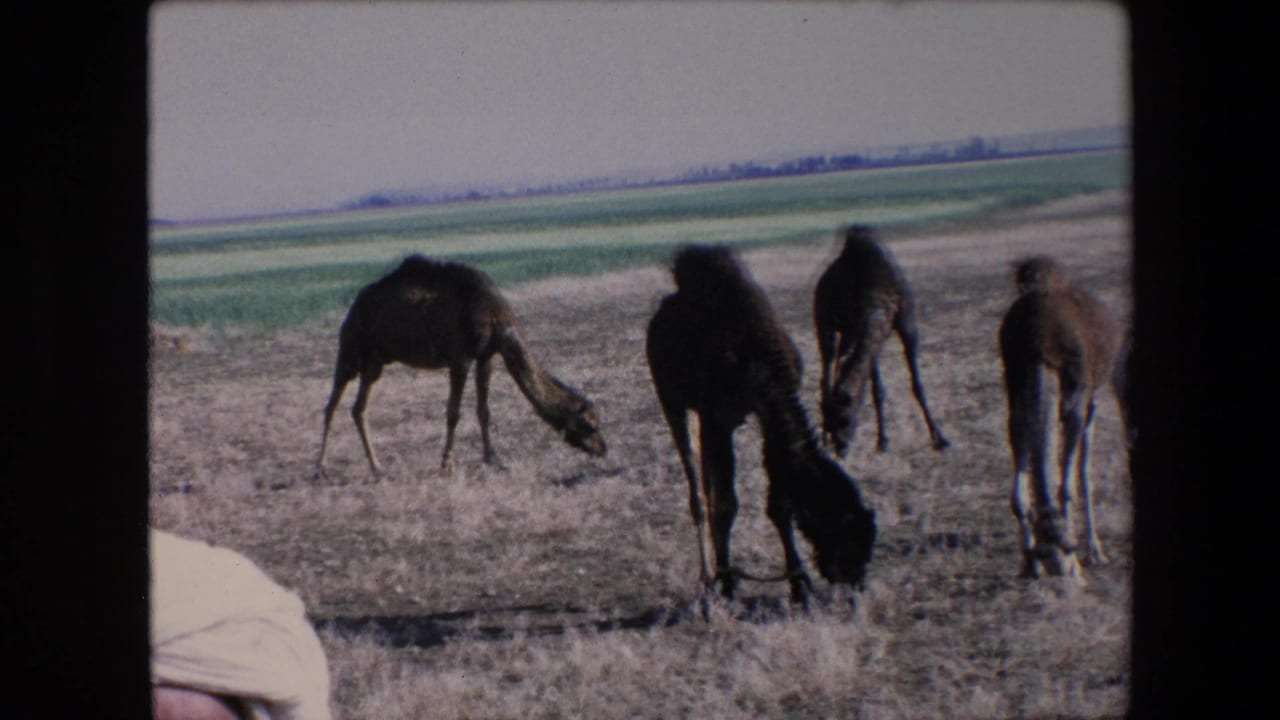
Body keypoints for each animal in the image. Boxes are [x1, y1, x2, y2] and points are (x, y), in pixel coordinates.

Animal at [316, 255, 606, 477]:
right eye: (590, 424)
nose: (604, 448)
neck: (498, 322)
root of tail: (353, 307)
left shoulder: (486, 356)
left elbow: (484, 410)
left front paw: (493, 459)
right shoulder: (461, 357)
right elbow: (453, 412)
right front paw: (447, 464)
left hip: (375, 363)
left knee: (358, 408)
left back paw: (377, 467)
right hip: (351, 349)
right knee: (331, 404)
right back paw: (320, 468)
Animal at [646, 244, 877, 605]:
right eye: (845, 538)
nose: (857, 582)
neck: (756, 357)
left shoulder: (766, 415)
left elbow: (779, 503)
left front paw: (799, 585)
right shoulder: (718, 417)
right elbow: (726, 503)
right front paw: (728, 584)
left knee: (708, 485)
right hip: (671, 400)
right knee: (698, 490)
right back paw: (708, 578)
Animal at [813, 224, 950, 457]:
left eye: (845, 419)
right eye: (833, 423)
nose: (841, 449)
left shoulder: (906, 324)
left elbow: (916, 384)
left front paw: (939, 437)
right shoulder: (864, 331)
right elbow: (877, 389)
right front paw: (883, 440)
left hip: (847, 334)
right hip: (825, 325)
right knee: (826, 373)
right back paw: (821, 441)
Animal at [998, 255, 1130, 580]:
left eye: (1062, 546)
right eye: (1042, 549)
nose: (1056, 567)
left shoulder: (1077, 401)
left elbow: (1066, 486)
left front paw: (1079, 566)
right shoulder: (1016, 399)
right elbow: (1018, 496)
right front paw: (1028, 566)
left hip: (1091, 396)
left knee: (1082, 467)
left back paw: (1096, 550)